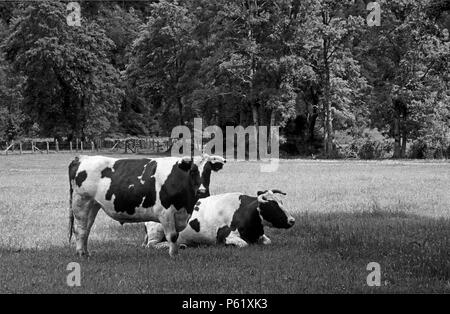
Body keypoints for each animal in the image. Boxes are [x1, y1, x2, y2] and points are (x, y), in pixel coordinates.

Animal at [67, 153, 225, 256]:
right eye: (192, 171)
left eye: (208, 171)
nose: (202, 192)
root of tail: (82, 157)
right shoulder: (165, 212)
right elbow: (173, 236)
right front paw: (174, 256)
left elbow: (177, 236)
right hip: (81, 201)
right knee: (80, 229)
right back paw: (81, 253)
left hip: (93, 205)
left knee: (86, 228)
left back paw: (86, 252)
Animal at [142, 189, 294, 248]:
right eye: (272, 205)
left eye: (281, 202)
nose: (292, 220)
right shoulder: (225, 235)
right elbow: (243, 244)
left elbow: (268, 241)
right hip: (158, 229)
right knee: (152, 245)